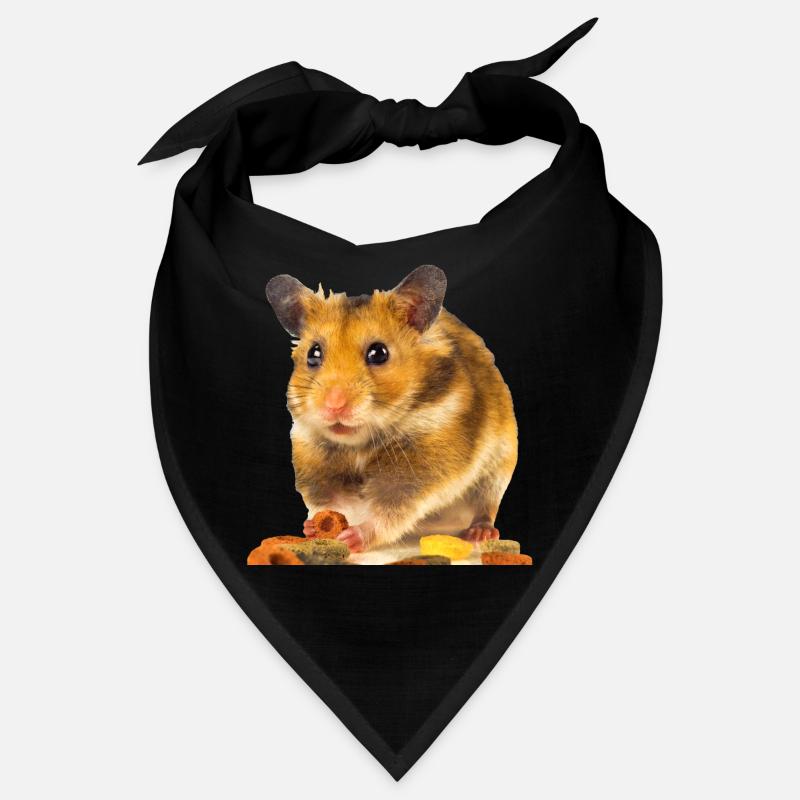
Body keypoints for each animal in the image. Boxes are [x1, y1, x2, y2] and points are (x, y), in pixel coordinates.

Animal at [265, 265, 518, 553]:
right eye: (313, 353)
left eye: (379, 353)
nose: (333, 406)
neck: (359, 444)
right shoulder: (315, 461)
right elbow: (332, 502)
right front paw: (314, 528)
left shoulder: (420, 468)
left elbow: (390, 510)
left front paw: (352, 537)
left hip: (499, 466)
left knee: (486, 504)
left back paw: (478, 533)